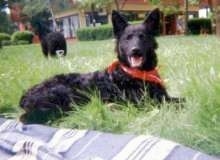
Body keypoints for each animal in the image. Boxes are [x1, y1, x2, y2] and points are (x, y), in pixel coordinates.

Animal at [19, 8, 184, 123]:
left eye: (143, 37)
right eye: (127, 38)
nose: (135, 50)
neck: (135, 74)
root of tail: (25, 95)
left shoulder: (162, 96)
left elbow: (180, 99)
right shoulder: (145, 103)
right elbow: (178, 103)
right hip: (68, 94)